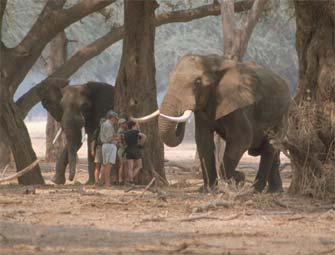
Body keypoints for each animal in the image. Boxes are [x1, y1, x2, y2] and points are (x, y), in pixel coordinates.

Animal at [134, 54, 292, 192]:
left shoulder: (239, 105)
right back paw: (274, 191)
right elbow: (203, 140)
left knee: (269, 147)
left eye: (197, 82)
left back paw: (256, 190)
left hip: (281, 115)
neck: (212, 62)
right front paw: (208, 190)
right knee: (274, 150)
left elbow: (242, 139)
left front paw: (239, 178)